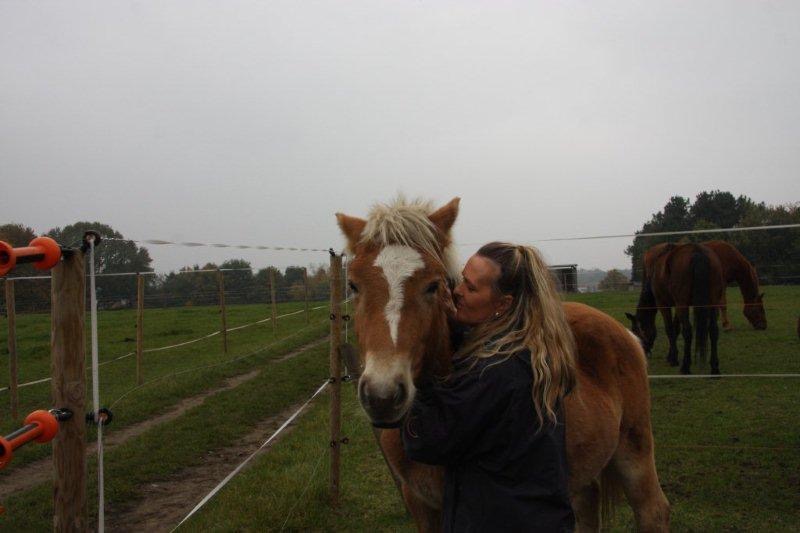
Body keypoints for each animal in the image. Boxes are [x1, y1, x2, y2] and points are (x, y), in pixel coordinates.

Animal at [336, 197, 668, 532]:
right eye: (353, 286)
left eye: (433, 285)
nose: (382, 395)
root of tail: (626, 335)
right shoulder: (419, 502)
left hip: (635, 451)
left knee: (653, 510)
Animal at [632, 242, 724, 374]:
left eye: (635, 331)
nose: (643, 352)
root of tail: (697, 251)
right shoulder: (677, 305)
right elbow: (676, 328)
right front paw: (671, 355)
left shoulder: (663, 303)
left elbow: (670, 329)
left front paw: (673, 359)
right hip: (712, 302)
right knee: (713, 330)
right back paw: (714, 367)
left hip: (683, 303)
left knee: (688, 331)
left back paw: (685, 366)